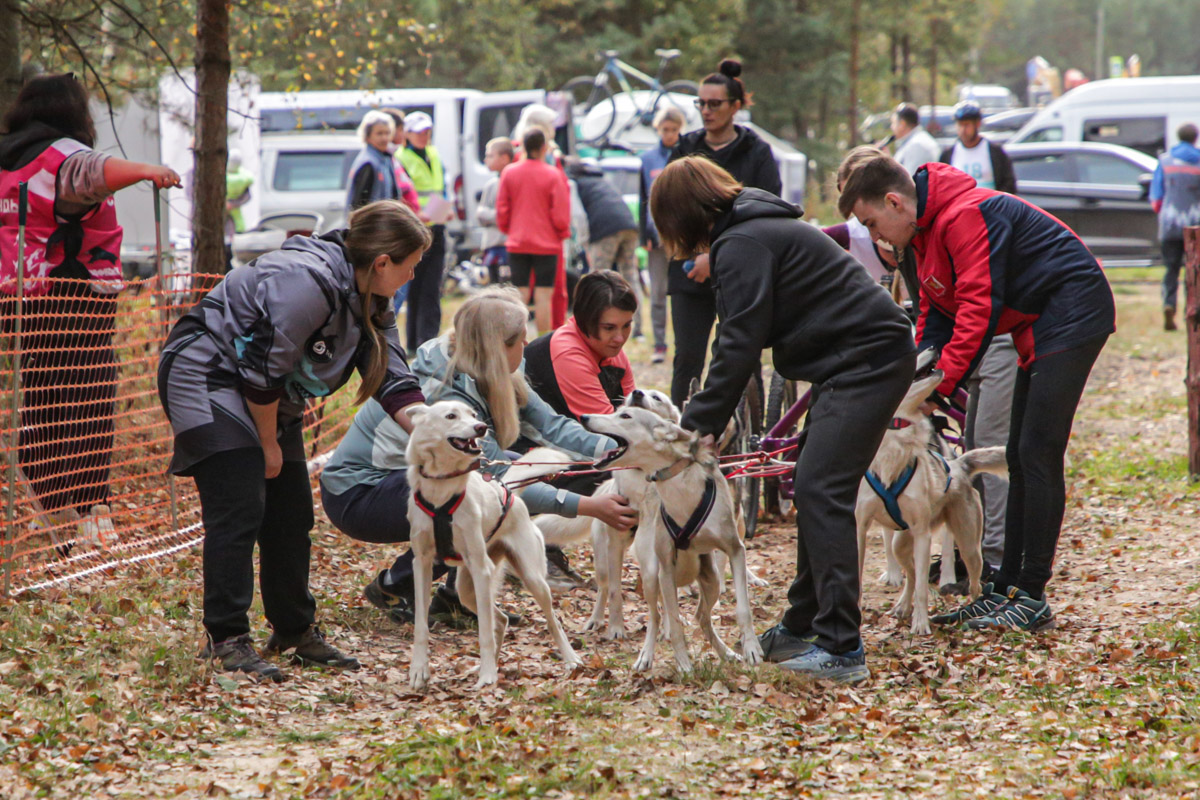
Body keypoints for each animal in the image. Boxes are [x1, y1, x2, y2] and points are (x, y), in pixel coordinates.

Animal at [403, 402, 580, 690]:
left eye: (473, 414)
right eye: (450, 416)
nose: (481, 427)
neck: (442, 489)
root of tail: (508, 490)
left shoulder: (479, 568)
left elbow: (484, 631)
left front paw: (486, 676)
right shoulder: (422, 563)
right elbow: (421, 626)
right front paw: (419, 670)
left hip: (530, 578)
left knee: (552, 621)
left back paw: (571, 660)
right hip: (466, 590)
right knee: (501, 620)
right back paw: (493, 666)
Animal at [578, 407, 758, 676]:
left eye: (625, 416)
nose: (583, 417)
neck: (683, 496)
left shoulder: (735, 549)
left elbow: (743, 609)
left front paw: (751, 648)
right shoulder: (666, 569)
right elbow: (673, 624)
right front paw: (683, 663)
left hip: (712, 580)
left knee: (702, 617)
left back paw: (726, 652)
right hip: (652, 576)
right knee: (653, 615)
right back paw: (645, 655)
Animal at [859, 371, 1008, 638]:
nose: (938, 369)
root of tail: (959, 465)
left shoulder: (922, 534)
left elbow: (921, 587)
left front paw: (921, 624)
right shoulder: (860, 527)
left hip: (968, 546)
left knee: (974, 582)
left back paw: (971, 609)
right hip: (900, 545)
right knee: (910, 573)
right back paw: (902, 606)